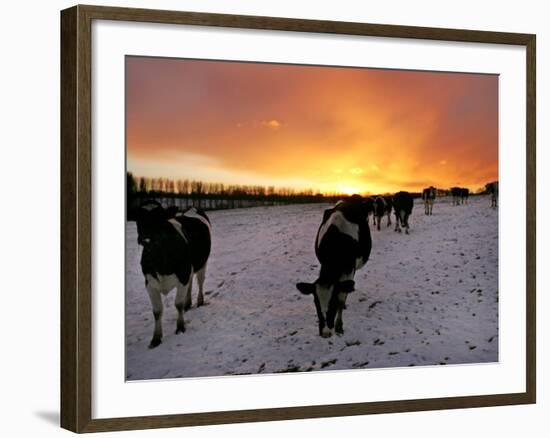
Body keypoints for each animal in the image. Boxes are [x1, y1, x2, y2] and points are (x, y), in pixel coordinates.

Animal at [138, 200, 213, 348]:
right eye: (139, 219)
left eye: (160, 218)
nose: (145, 238)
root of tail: (191, 208)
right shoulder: (149, 283)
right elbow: (157, 311)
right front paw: (156, 338)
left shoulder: (183, 275)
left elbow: (178, 304)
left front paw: (180, 327)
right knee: (191, 284)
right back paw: (188, 304)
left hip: (202, 263)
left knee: (200, 281)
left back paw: (199, 301)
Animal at [298, 196, 376, 338]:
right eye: (316, 303)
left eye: (332, 302)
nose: (325, 332)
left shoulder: (349, 270)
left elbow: (341, 297)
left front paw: (339, 326)